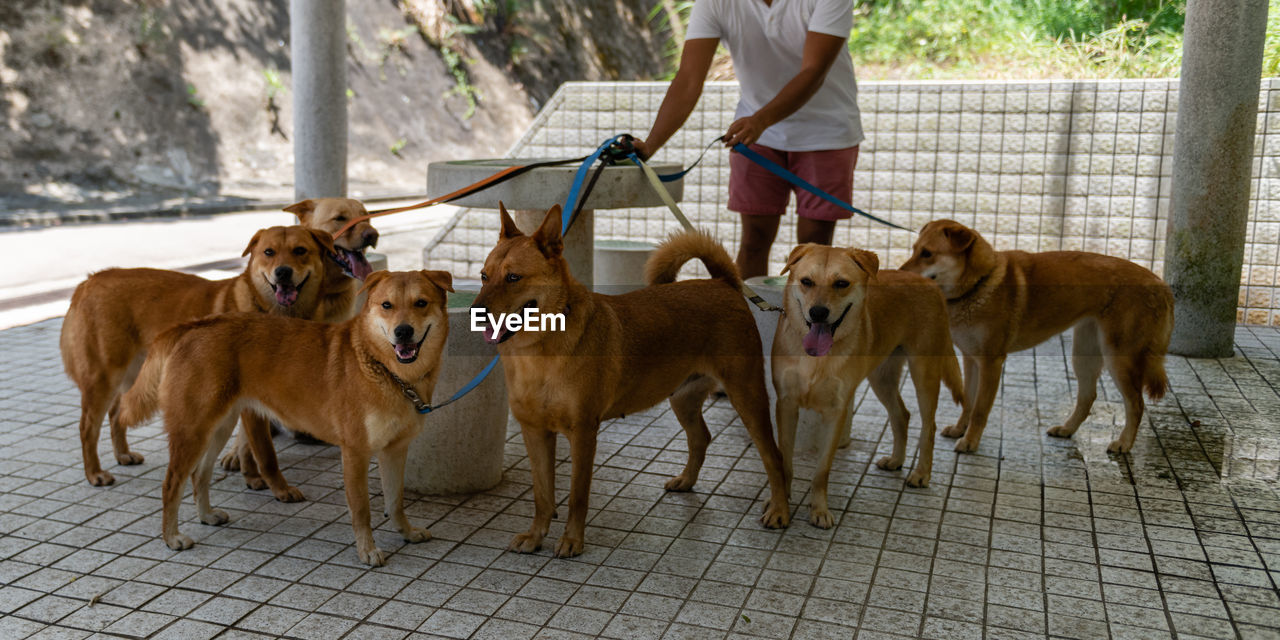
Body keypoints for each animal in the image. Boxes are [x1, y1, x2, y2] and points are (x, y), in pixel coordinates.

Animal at [63, 225, 335, 483]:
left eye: (300, 250)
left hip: (134, 376)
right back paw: (94, 473)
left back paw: (122, 454)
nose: (283, 272)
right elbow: (258, 445)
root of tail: (90, 280)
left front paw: (249, 473)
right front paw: (258, 477)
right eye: (269, 252)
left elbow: (247, 442)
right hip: (103, 377)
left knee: (117, 414)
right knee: (87, 427)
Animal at [116, 270, 455, 565]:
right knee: (171, 484)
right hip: (193, 431)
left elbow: (396, 500)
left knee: (200, 475)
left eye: (420, 303)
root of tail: (194, 325)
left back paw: (206, 516)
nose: (403, 331)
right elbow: (362, 510)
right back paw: (171, 538)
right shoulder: (356, 453)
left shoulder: (395, 450)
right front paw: (367, 550)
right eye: (387, 305)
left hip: (218, 428)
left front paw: (406, 533)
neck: (385, 370)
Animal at [471, 204, 788, 560]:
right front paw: (536, 534)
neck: (540, 350)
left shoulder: (583, 433)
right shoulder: (534, 432)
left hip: (747, 397)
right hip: (683, 399)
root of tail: (723, 283)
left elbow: (577, 496)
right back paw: (687, 480)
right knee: (701, 438)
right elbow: (542, 495)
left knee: (773, 457)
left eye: (513, 277)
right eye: (483, 276)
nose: (475, 312)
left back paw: (780, 510)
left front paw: (572, 540)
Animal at [768, 241, 962, 527]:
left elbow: (821, 470)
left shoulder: (836, 412)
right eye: (806, 281)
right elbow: (784, 463)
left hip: (924, 373)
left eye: (841, 283)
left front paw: (819, 509)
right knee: (901, 414)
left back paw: (921, 473)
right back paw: (896, 460)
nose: (818, 312)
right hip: (881, 378)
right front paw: (779, 506)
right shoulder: (786, 405)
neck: (816, 360)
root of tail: (928, 282)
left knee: (929, 425)